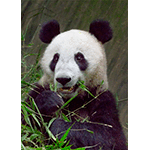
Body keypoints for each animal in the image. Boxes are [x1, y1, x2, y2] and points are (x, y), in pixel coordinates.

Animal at [25, 19, 127, 149]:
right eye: (55, 58)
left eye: (79, 57)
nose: (63, 79)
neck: (72, 100)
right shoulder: (40, 88)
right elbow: (27, 119)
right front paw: (50, 101)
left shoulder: (101, 98)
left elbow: (108, 136)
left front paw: (60, 127)